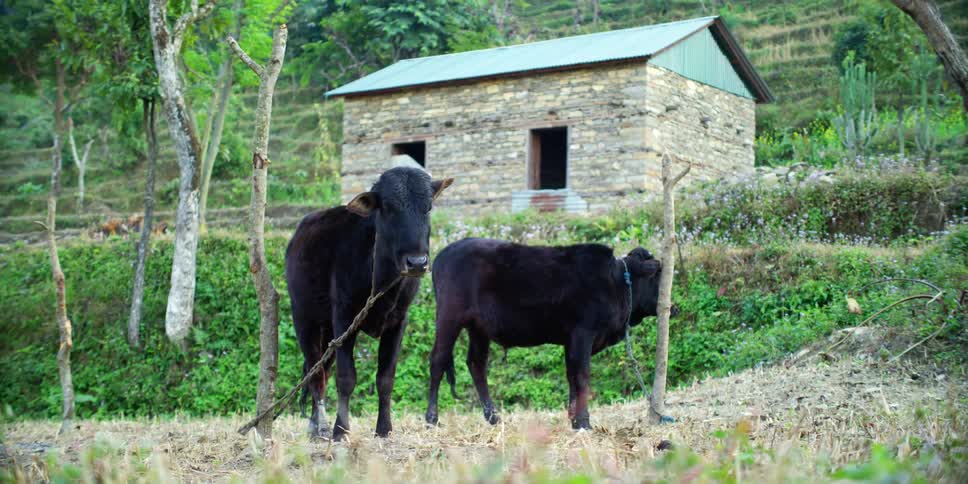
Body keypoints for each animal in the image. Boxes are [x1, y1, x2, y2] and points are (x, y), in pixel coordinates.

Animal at [286, 167, 453, 440]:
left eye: (428, 207)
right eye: (388, 208)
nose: (417, 263)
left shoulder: (398, 321)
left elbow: (385, 378)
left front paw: (384, 428)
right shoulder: (344, 318)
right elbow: (346, 378)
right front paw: (340, 430)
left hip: (327, 330)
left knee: (323, 368)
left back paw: (314, 424)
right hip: (304, 318)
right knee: (315, 373)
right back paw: (321, 426)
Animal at [425, 238, 663, 430]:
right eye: (656, 276)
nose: (670, 306)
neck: (615, 282)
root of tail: (444, 253)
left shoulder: (571, 340)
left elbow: (571, 375)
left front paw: (573, 419)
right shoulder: (583, 334)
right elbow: (582, 376)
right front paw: (584, 422)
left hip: (478, 328)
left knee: (476, 364)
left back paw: (493, 417)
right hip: (449, 317)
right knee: (438, 360)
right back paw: (432, 419)